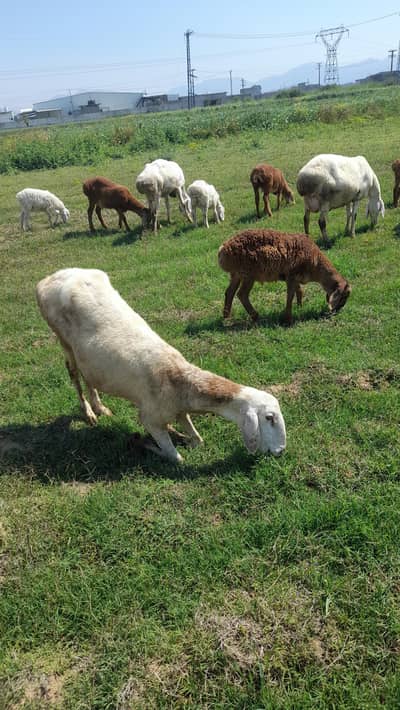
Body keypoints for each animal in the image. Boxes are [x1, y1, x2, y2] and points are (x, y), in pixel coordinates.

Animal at [36, 268, 286, 463]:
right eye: (269, 418)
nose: (281, 451)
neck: (178, 381)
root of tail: (48, 278)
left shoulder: (179, 410)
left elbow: (198, 440)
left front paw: (182, 436)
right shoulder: (150, 418)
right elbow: (176, 458)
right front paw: (145, 443)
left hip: (87, 357)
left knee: (88, 376)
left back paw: (100, 408)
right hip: (63, 340)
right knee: (74, 375)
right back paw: (89, 413)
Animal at [218, 229, 351, 325]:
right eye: (344, 296)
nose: (337, 311)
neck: (316, 264)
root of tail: (223, 250)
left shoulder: (294, 277)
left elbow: (299, 291)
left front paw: (299, 307)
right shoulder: (291, 276)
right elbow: (290, 296)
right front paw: (288, 319)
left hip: (236, 274)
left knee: (229, 292)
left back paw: (226, 317)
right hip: (248, 274)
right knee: (242, 294)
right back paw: (256, 316)